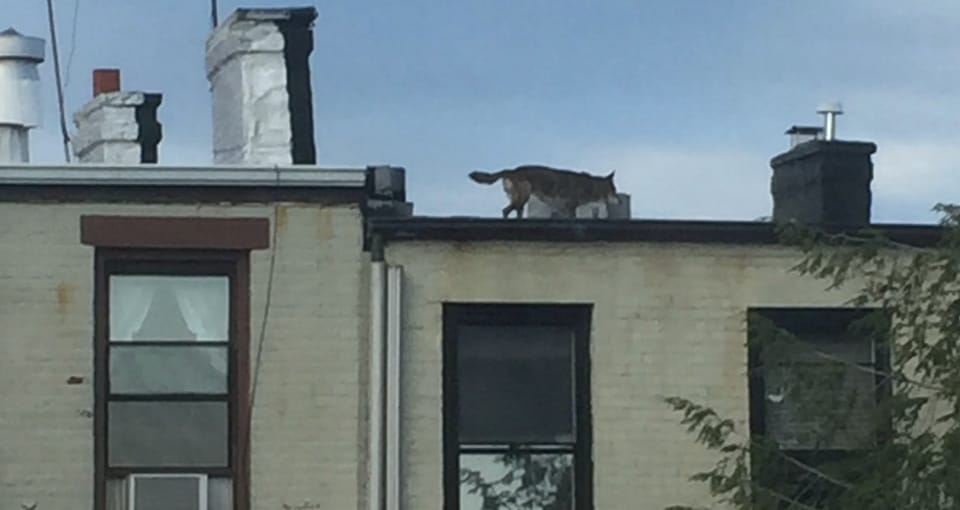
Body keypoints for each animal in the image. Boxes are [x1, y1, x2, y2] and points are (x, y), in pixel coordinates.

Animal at [468, 165, 620, 217]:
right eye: (615, 190)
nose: (620, 202)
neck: (591, 185)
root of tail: (511, 170)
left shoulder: (562, 209)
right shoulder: (570, 207)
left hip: (520, 199)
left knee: (511, 211)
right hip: (524, 196)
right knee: (507, 211)